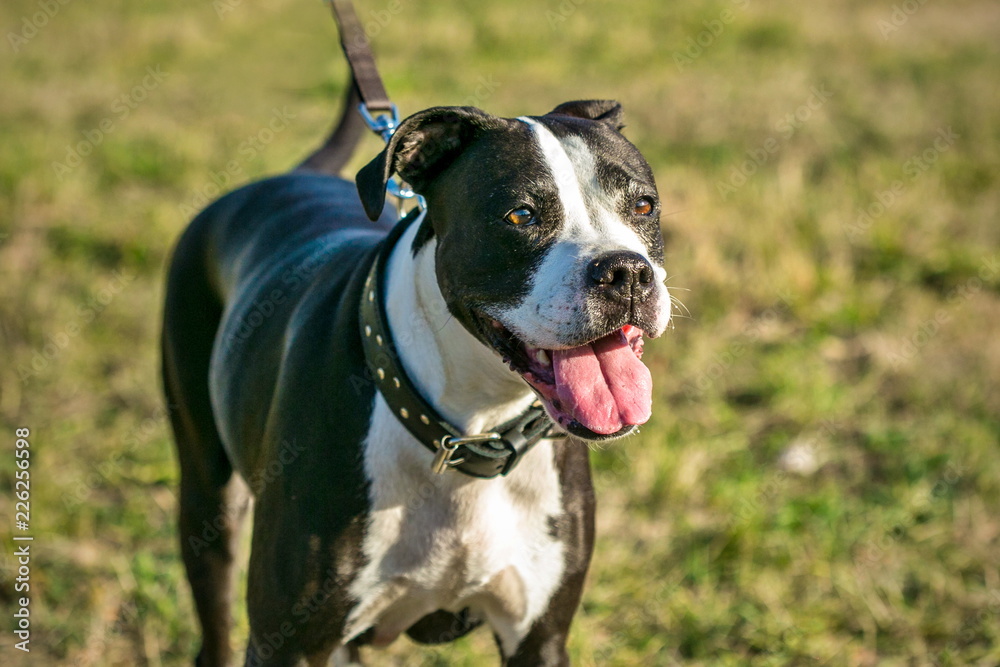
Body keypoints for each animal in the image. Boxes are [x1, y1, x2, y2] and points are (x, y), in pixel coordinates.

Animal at [164, 91, 672, 664]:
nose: (626, 272)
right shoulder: (287, 644)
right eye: (521, 215)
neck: (471, 431)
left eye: (643, 206)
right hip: (209, 499)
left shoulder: (539, 639)